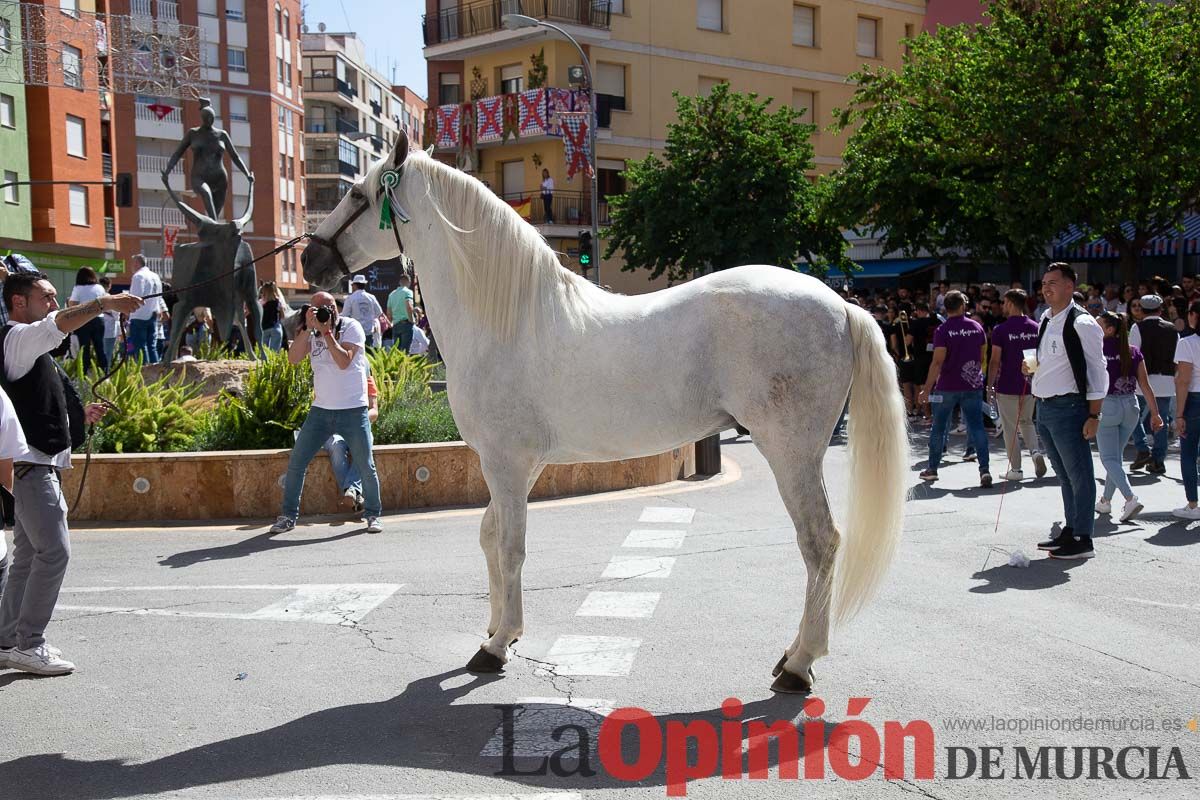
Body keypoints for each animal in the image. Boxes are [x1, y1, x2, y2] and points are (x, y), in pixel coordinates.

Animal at [304, 133, 902, 695]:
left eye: (357, 195)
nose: (310, 260)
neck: (506, 320)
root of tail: (839, 304)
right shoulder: (517, 467)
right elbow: (490, 537)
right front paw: (498, 630)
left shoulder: (506, 463)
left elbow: (511, 547)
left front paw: (497, 646)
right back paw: (792, 656)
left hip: (790, 452)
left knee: (820, 543)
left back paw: (799, 665)